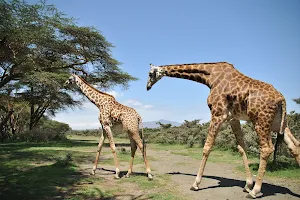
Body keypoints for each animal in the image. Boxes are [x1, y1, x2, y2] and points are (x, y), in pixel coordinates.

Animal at [145, 61, 298, 198]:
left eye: (150, 74)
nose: (147, 87)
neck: (210, 77)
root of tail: (281, 99)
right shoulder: (233, 118)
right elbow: (241, 147)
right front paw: (248, 184)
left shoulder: (218, 114)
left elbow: (207, 147)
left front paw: (195, 184)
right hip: (279, 123)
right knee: (294, 146)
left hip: (261, 120)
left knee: (267, 148)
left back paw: (255, 192)